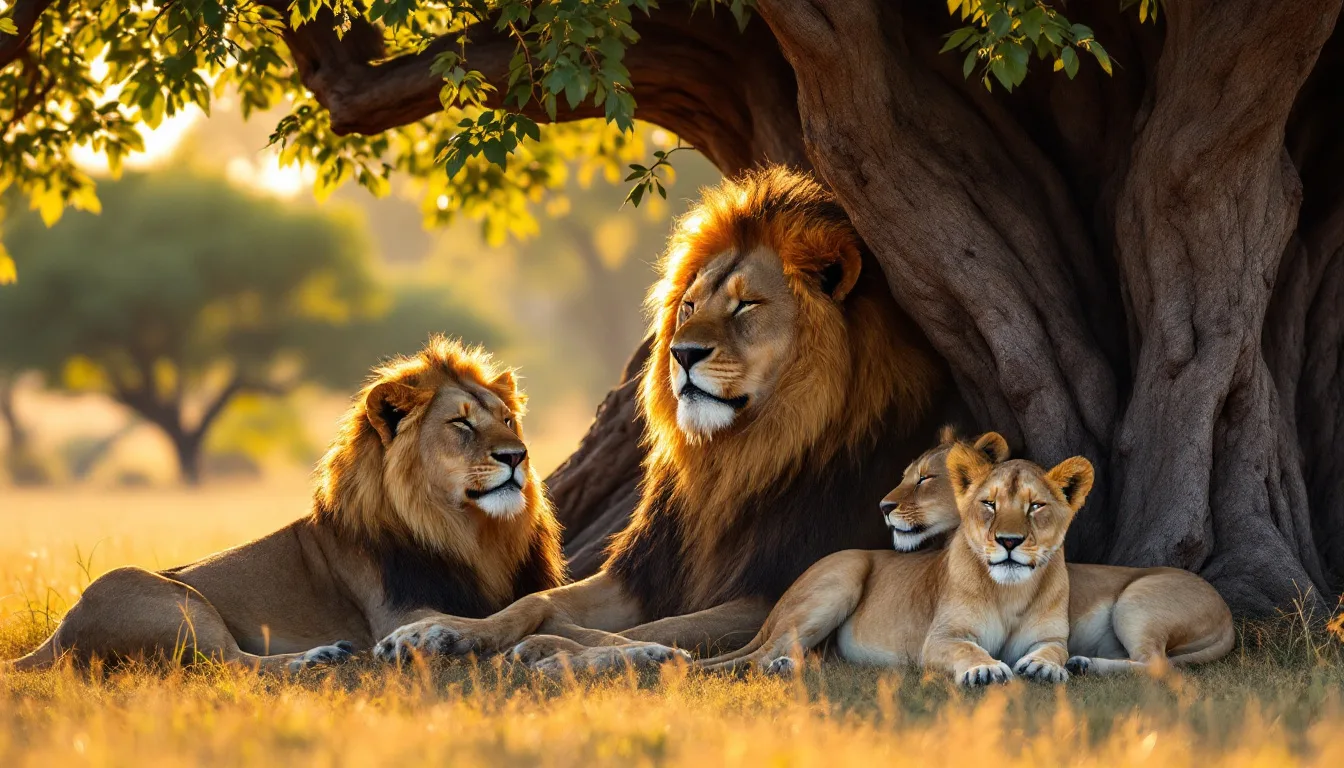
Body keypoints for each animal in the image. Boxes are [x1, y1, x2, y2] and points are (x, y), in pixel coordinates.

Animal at [6, 337, 565, 673]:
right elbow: (495, 614)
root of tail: (57, 635)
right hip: (159, 595)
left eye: (507, 421)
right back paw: (318, 656)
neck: (472, 533)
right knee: (233, 664)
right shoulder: (396, 614)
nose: (517, 456)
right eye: (461, 423)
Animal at [373, 166, 947, 672]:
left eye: (746, 305)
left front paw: (560, 648)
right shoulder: (643, 575)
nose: (681, 353)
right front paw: (438, 630)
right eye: (689, 307)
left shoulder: (771, 588)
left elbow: (652, 630)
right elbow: (537, 601)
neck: (741, 454)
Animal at [699, 445, 1093, 685]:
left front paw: (1043, 667)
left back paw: (789, 666)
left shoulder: (1049, 636)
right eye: (989, 504)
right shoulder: (940, 638)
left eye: (1035, 506)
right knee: (755, 657)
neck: (1012, 592)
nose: (1008, 541)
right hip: (842, 577)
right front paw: (985, 668)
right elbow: (968, 648)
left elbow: (1056, 650)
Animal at [876, 428, 1234, 675]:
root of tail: (1228, 615)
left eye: (925, 478)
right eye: (905, 476)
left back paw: (1084, 664)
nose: (883, 506)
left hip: (1137, 603)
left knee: (1159, 665)